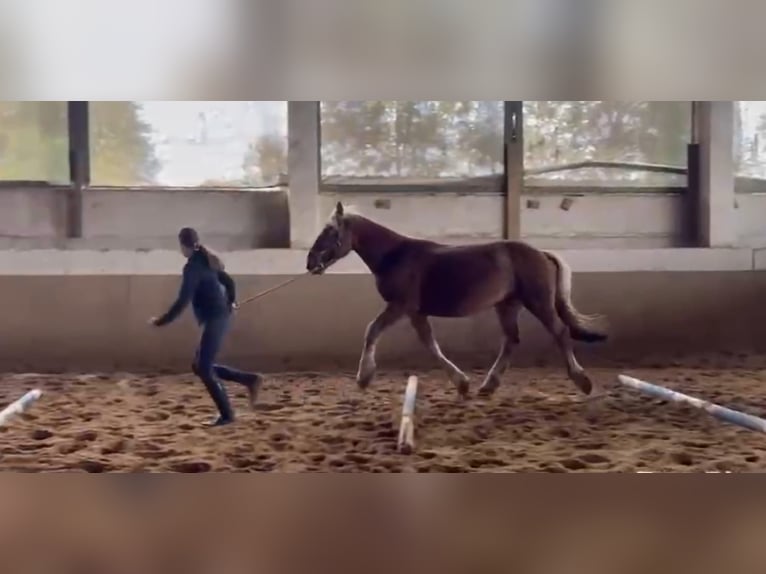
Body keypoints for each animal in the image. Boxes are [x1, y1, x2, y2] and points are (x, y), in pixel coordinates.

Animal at [306, 202, 608, 399]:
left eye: (331, 232)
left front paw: (364, 377)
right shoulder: (416, 312)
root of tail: (541, 253)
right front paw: (462, 383)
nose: (310, 263)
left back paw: (582, 381)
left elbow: (372, 331)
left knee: (560, 332)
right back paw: (488, 386)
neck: (396, 255)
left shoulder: (400, 306)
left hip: (538, 302)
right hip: (507, 305)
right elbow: (430, 344)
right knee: (511, 340)